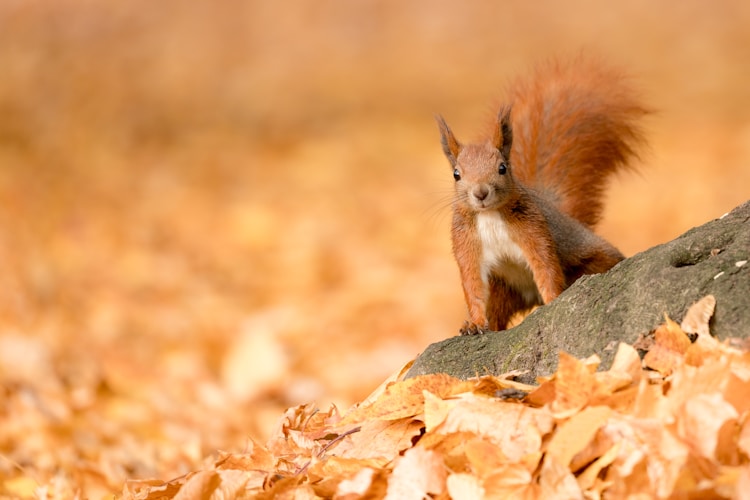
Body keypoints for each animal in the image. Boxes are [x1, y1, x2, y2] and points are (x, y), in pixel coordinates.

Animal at [438, 56, 648, 334]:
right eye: (456, 174)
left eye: (502, 168)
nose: (480, 193)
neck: (490, 216)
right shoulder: (466, 244)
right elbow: (472, 285)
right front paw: (474, 323)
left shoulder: (534, 231)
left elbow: (546, 268)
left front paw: (553, 301)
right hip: (503, 288)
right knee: (497, 310)